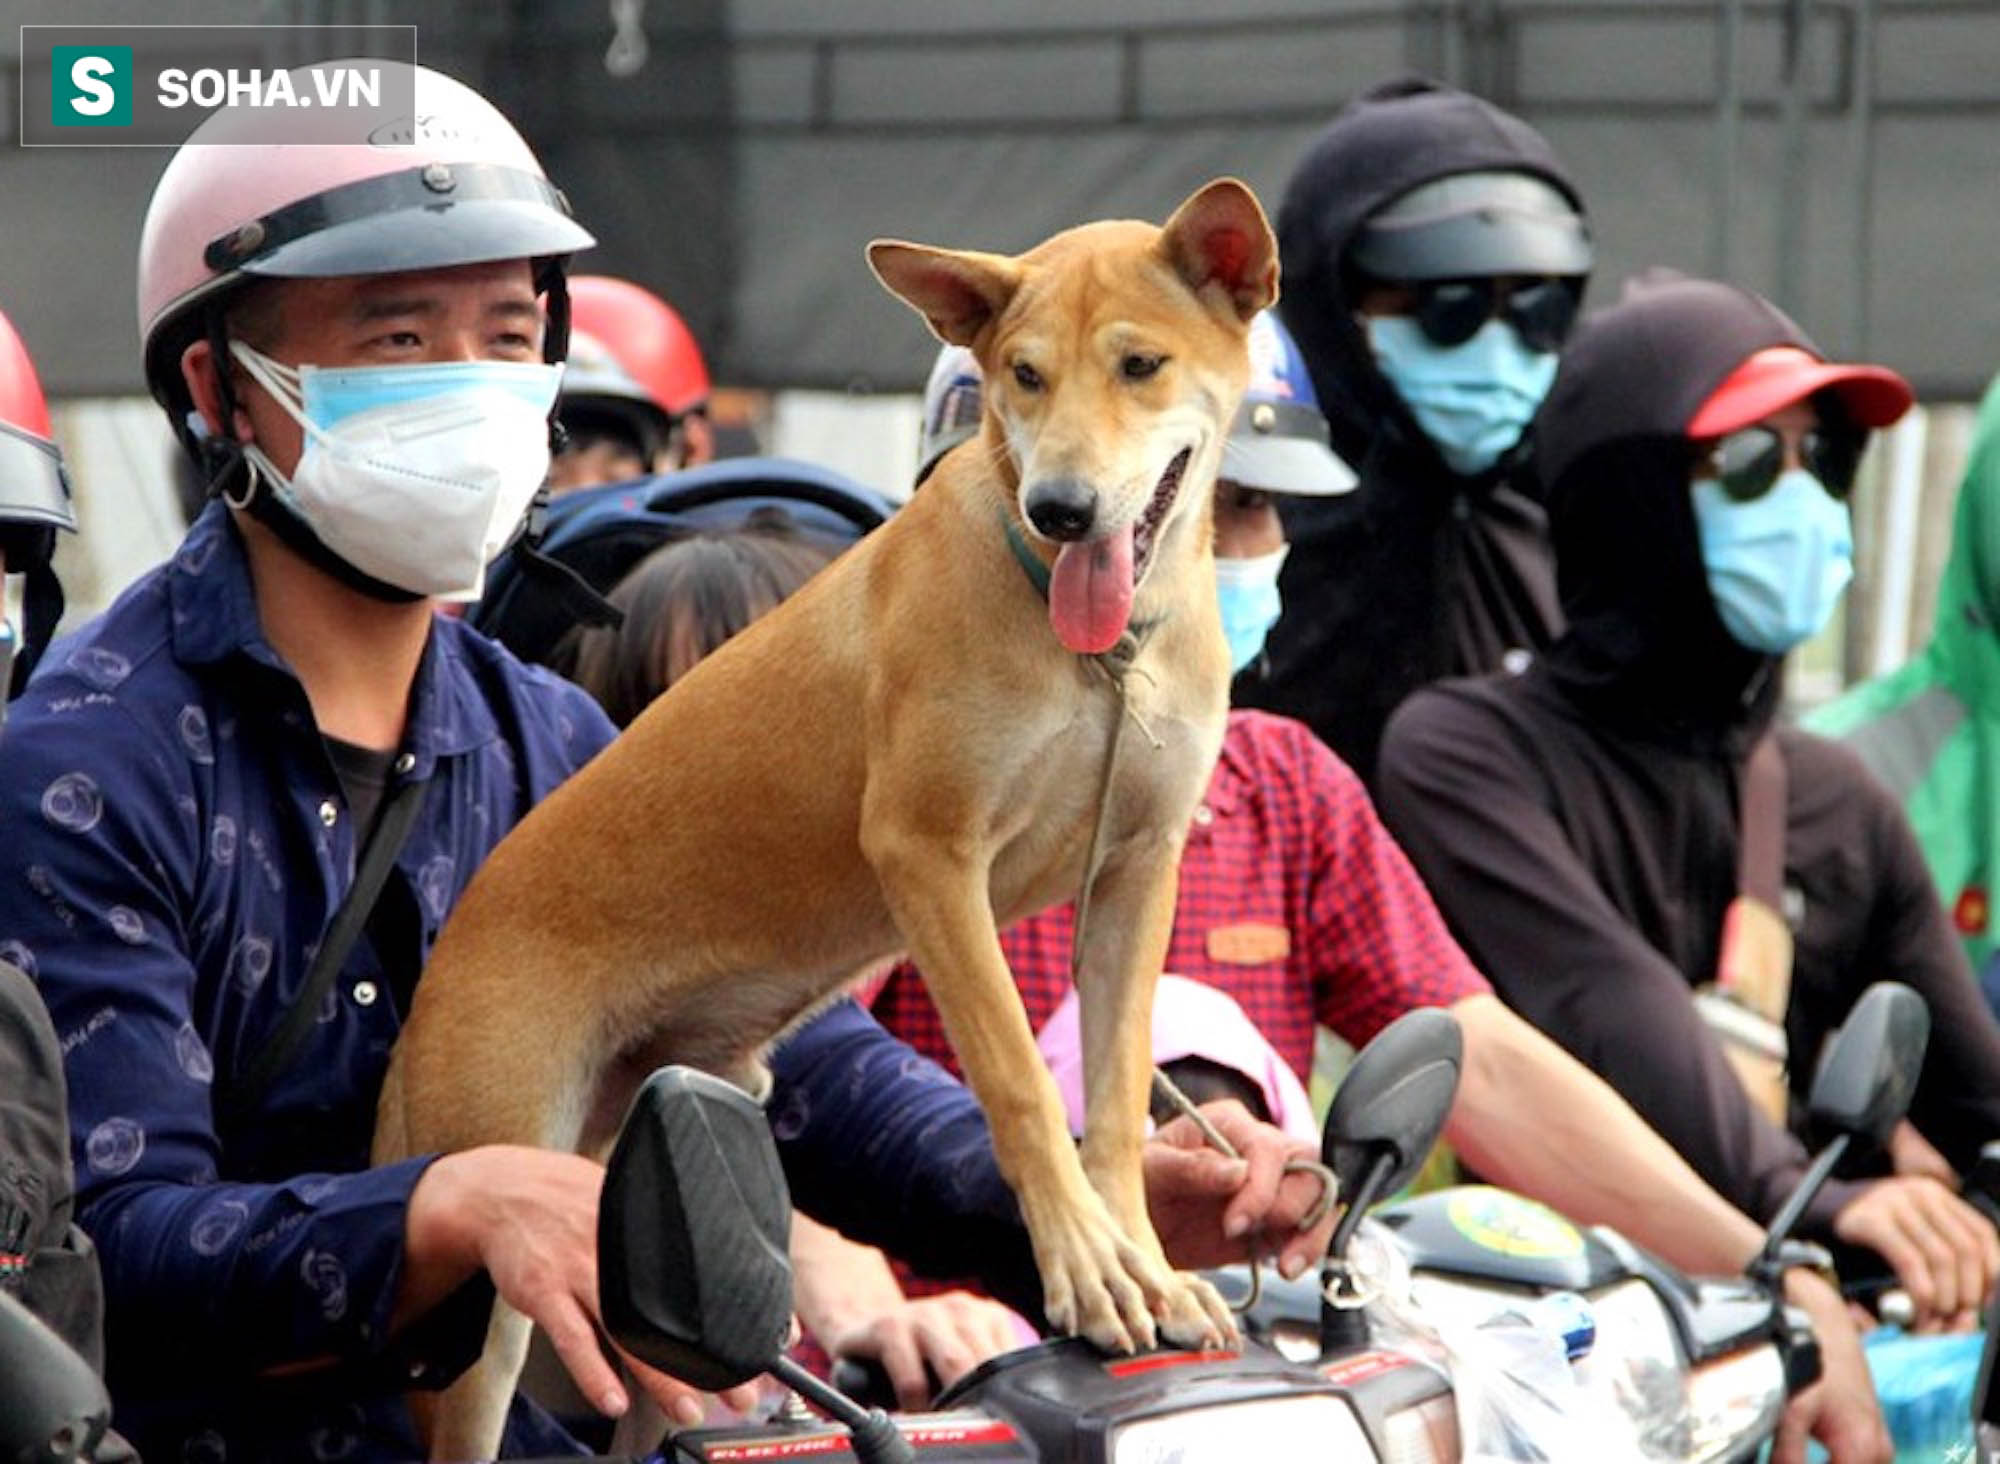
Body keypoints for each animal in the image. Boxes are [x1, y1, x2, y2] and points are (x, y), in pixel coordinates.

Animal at [376, 174, 1280, 1456]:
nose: (1060, 509)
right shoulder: (929, 857)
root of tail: (443, 967)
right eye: (1023, 376)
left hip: (640, 1199)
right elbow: (1016, 1082)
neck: (1095, 656)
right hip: (495, 1256)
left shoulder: (1133, 870)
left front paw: (1142, 1263)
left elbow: (1109, 1104)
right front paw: (1082, 1264)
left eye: (1140, 364)